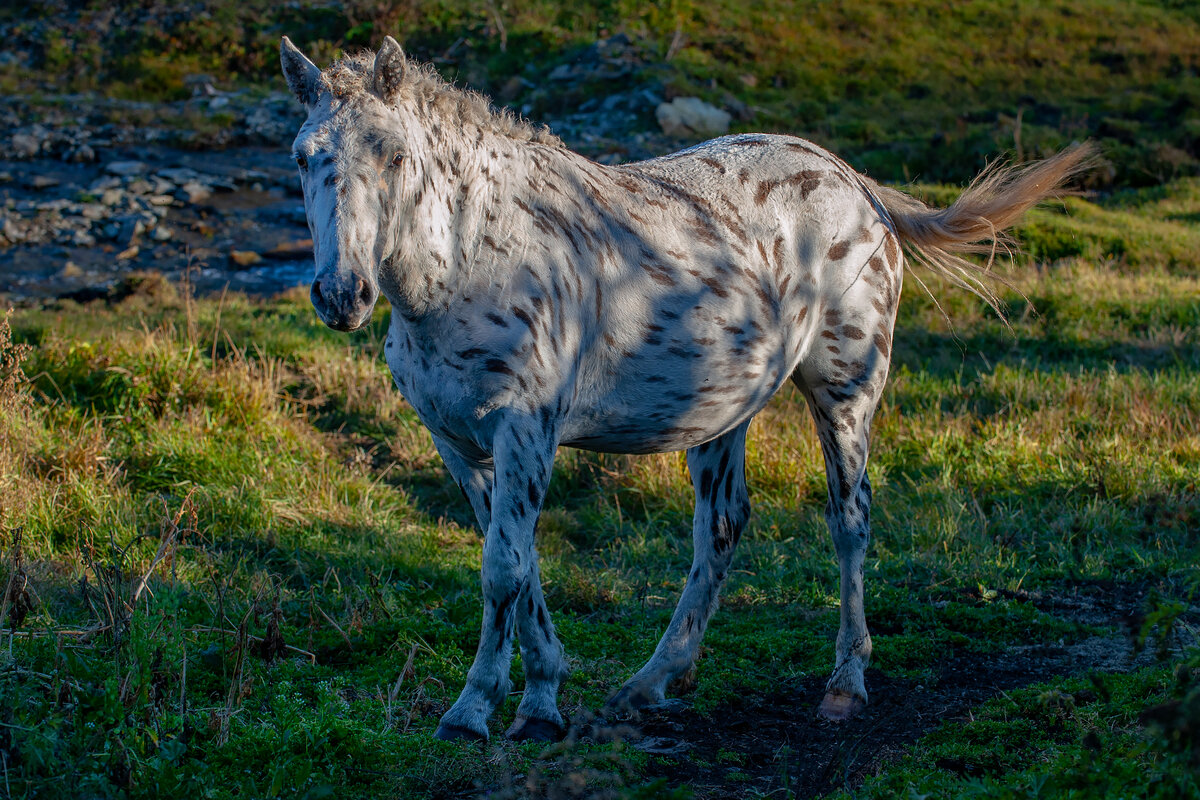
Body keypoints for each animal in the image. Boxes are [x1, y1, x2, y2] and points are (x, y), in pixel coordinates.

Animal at [280, 35, 1099, 738]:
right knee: (722, 528)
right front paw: (543, 697)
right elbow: (521, 567)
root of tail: (854, 183)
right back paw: (654, 681)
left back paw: (844, 684)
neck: (476, 257)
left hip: (845, 395)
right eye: (303, 155)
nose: (342, 295)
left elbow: (503, 571)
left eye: (393, 155)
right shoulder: (460, 444)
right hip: (723, 414)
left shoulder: (526, 432)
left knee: (850, 522)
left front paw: (477, 707)